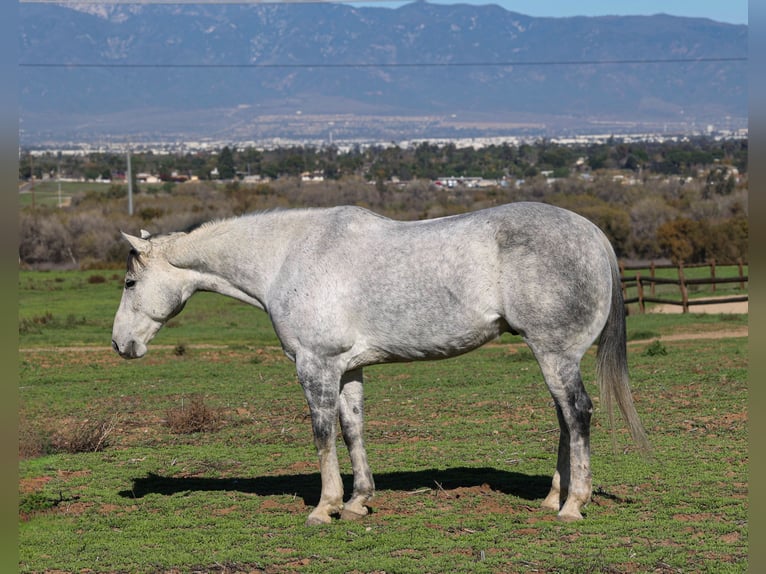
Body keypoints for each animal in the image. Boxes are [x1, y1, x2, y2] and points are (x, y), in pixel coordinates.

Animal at [111, 202, 649, 525]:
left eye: (130, 283)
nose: (120, 344)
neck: (288, 258)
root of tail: (592, 233)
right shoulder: (348, 368)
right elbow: (353, 430)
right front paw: (357, 501)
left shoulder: (315, 365)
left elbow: (322, 433)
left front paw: (324, 507)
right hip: (552, 356)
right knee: (565, 419)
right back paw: (553, 498)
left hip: (555, 353)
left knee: (577, 414)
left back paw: (573, 506)